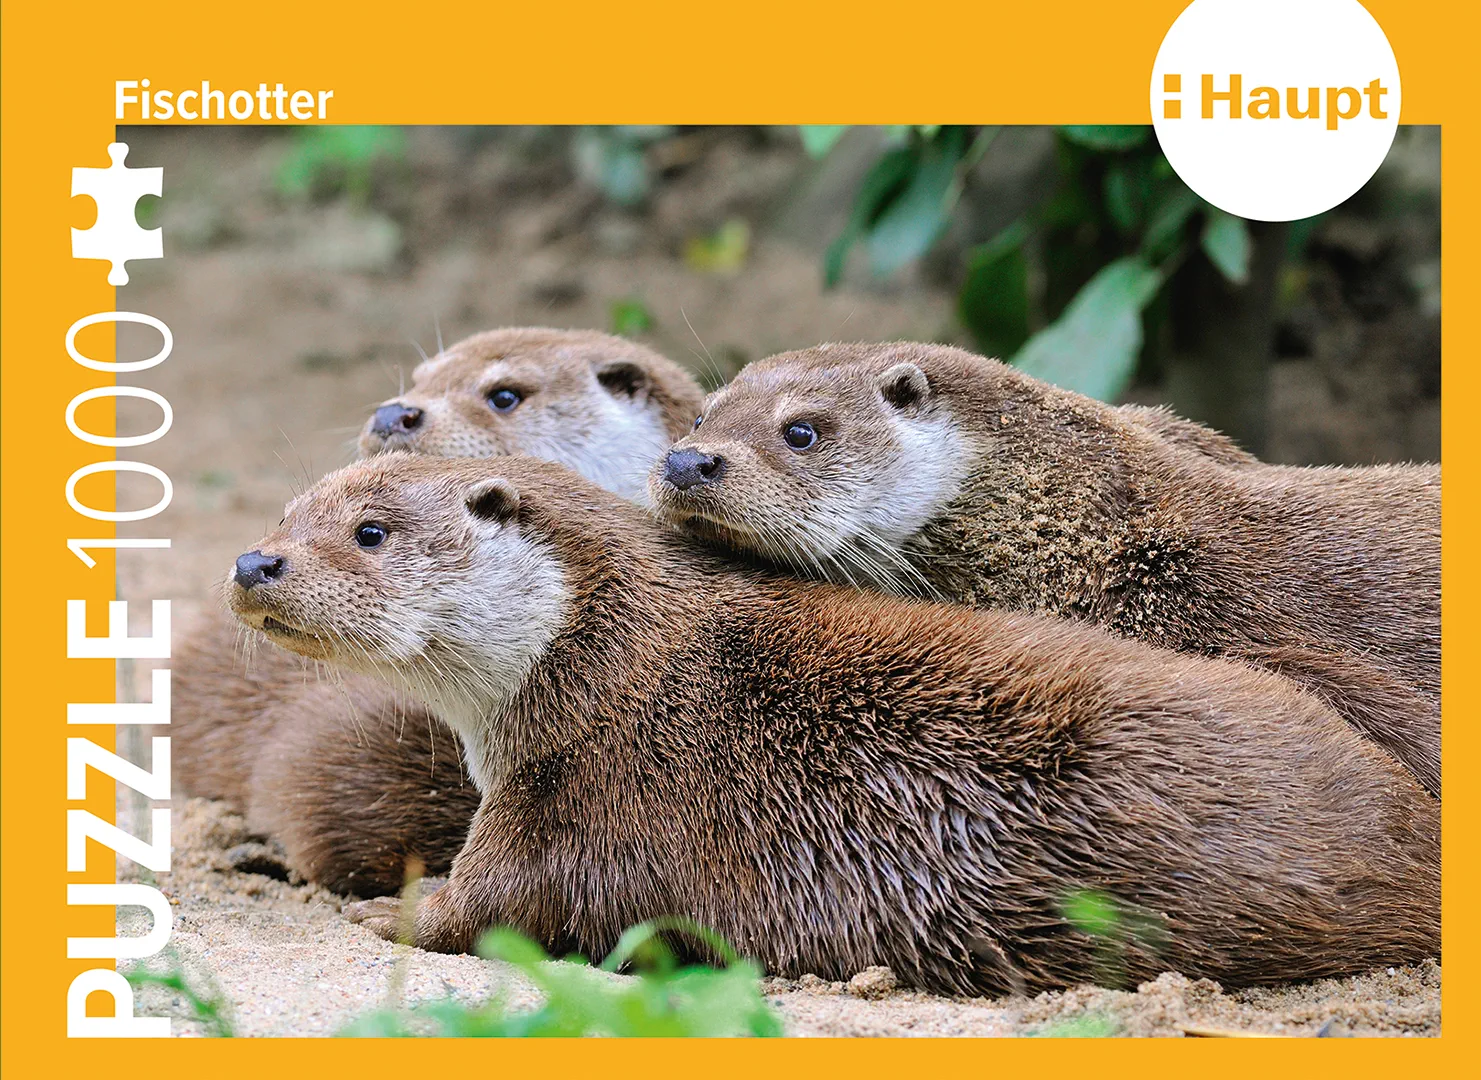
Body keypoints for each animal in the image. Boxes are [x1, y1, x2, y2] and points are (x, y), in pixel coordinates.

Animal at [226, 453, 1438, 994]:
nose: (254, 562)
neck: (603, 656)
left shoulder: (576, 796)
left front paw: (383, 909)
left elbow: (487, 909)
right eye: (285, 513)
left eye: (370, 532)